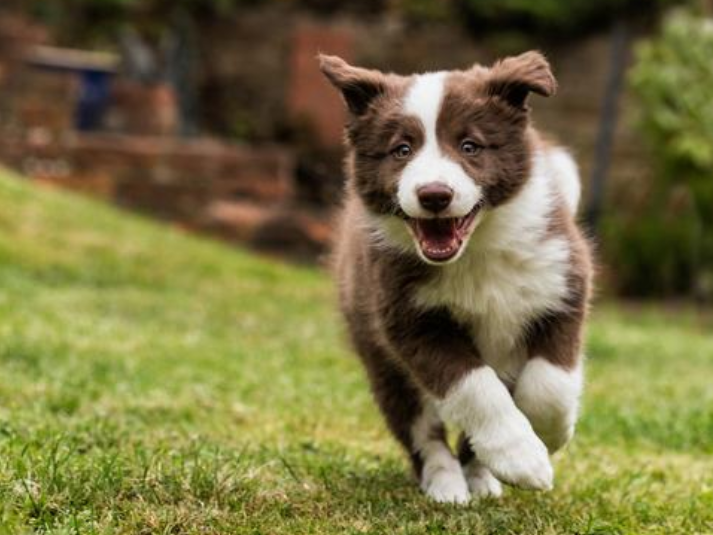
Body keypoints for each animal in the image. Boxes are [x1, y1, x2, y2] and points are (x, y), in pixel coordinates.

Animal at [320, 52, 592, 504]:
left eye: (470, 146)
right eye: (402, 150)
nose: (434, 195)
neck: (476, 249)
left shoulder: (561, 285)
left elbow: (550, 384)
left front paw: (547, 437)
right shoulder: (410, 320)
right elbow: (475, 389)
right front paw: (522, 457)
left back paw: (481, 476)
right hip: (383, 363)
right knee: (421, 431)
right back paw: (446, 483)